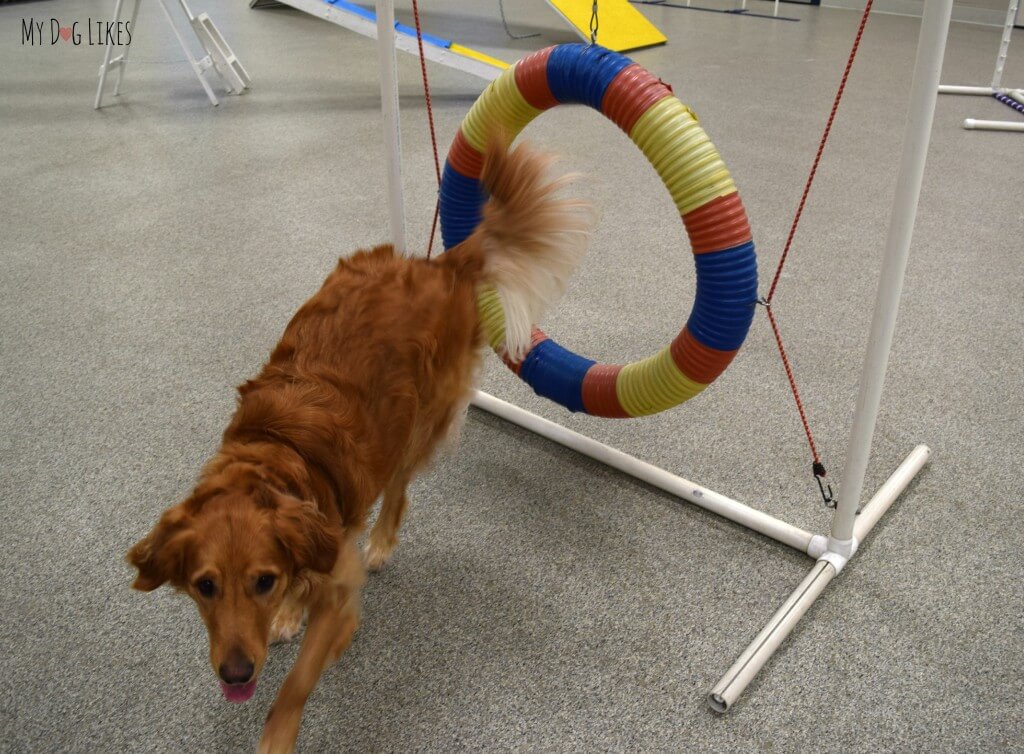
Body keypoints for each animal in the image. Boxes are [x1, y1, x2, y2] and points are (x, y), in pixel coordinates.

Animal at [125, 138, 593, 749]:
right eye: (205, 586)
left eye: (262, 580)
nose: (236, 673)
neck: (277, 456)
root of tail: (440, 265)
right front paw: (287, 615)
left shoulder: (339, 586)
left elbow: (299, 679)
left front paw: (280, 728)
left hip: (415, 425)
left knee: (397, 490)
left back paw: (383, 541)